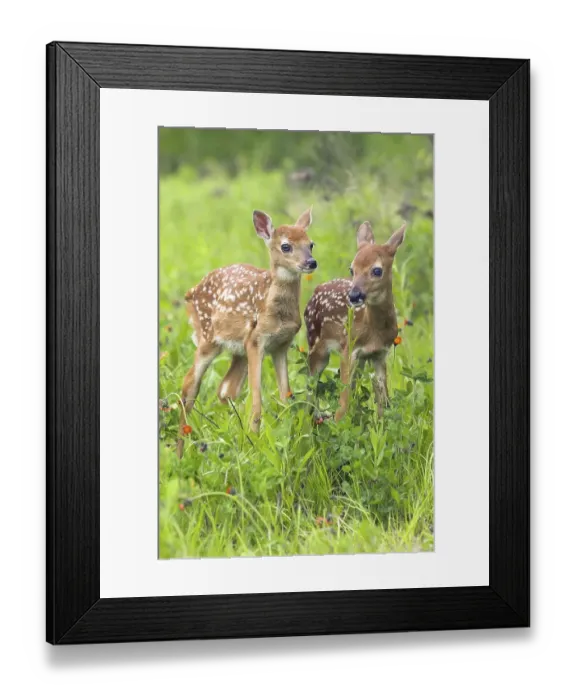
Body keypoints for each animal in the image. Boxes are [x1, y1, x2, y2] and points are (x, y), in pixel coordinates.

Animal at [177, 208, 316, 457]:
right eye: (286, 246)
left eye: (311, 244)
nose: (311, 262)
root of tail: (190, 292)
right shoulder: (256, 341)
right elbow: (257, 400)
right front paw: (256, 444)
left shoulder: (281, 346)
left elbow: (286, 397)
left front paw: (288, 438)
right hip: (208, 339)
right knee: (189, 385)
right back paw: (181, 452)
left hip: (237, 350)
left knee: (225, 389)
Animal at [304, 220, 406, 422]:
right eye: (352, 269)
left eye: (377, 270)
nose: (354, 295)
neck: (374, 331)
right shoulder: (348, 348)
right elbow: (343, 402)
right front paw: (338, 424)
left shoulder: (380, 353)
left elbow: (383, 402)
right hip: (316, 345)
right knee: (310, 387)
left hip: (360, 360)